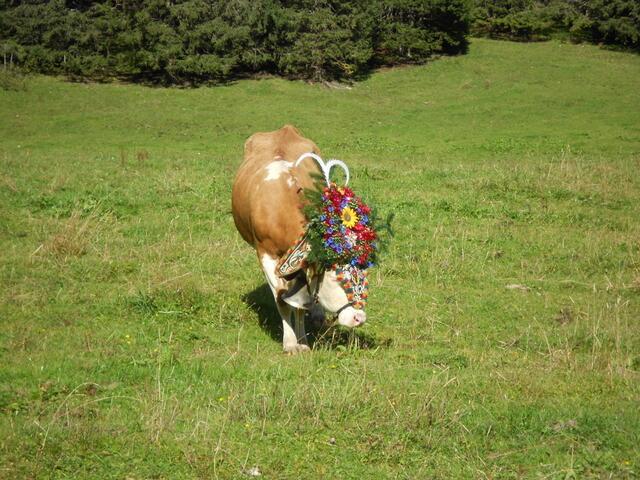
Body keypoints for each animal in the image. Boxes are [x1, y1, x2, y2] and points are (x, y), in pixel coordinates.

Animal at [232, 125, 368, 354]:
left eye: (362, 274)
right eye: (334, 278)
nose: (359, 317)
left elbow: (301, 305)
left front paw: (302, 339)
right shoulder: (265, 254)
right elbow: (283, 300)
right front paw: (290, 343)